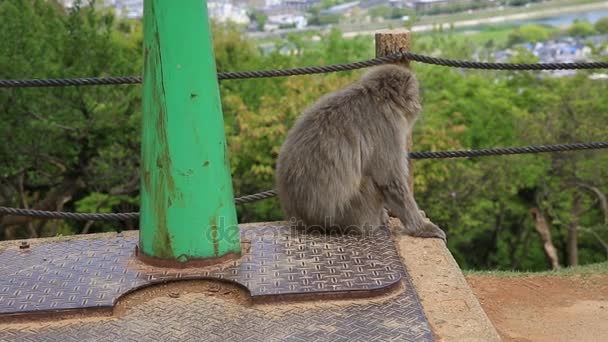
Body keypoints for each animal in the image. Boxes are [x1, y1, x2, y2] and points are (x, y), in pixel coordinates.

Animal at [276, 63, 446, 240]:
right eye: (414, 95)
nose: (418, 105)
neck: (378, 99)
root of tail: (303, 221)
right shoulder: (389, 127)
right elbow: (390, 181)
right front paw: (422, 228)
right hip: (350, 215)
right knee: (370, 182)